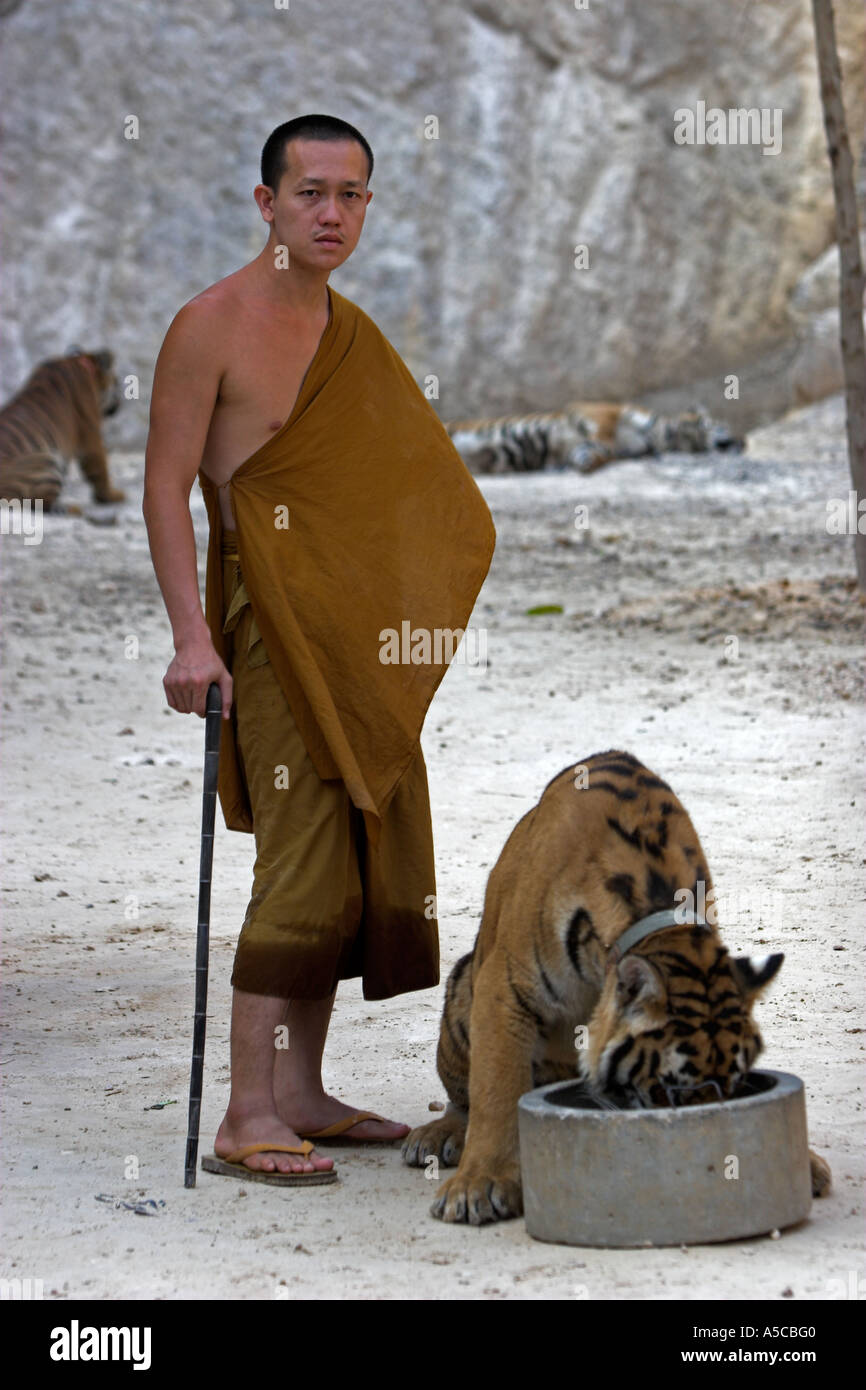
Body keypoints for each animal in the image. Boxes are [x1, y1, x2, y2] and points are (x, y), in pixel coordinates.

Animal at [0, 347, 123, 513]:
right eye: (116, 381)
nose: (120, 403)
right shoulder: (92, 437)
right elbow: (101, 471)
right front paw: (113, 496)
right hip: (48, 461)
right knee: (39, 504)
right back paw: (73, 509)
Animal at [402, 750, 831, 1225]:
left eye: (733, 1088)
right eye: (663, 1090)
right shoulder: (505, 985)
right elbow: (496, 1087)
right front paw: (479, 1185)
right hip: (464, 991)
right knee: (464, 1097)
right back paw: (437, 1136)